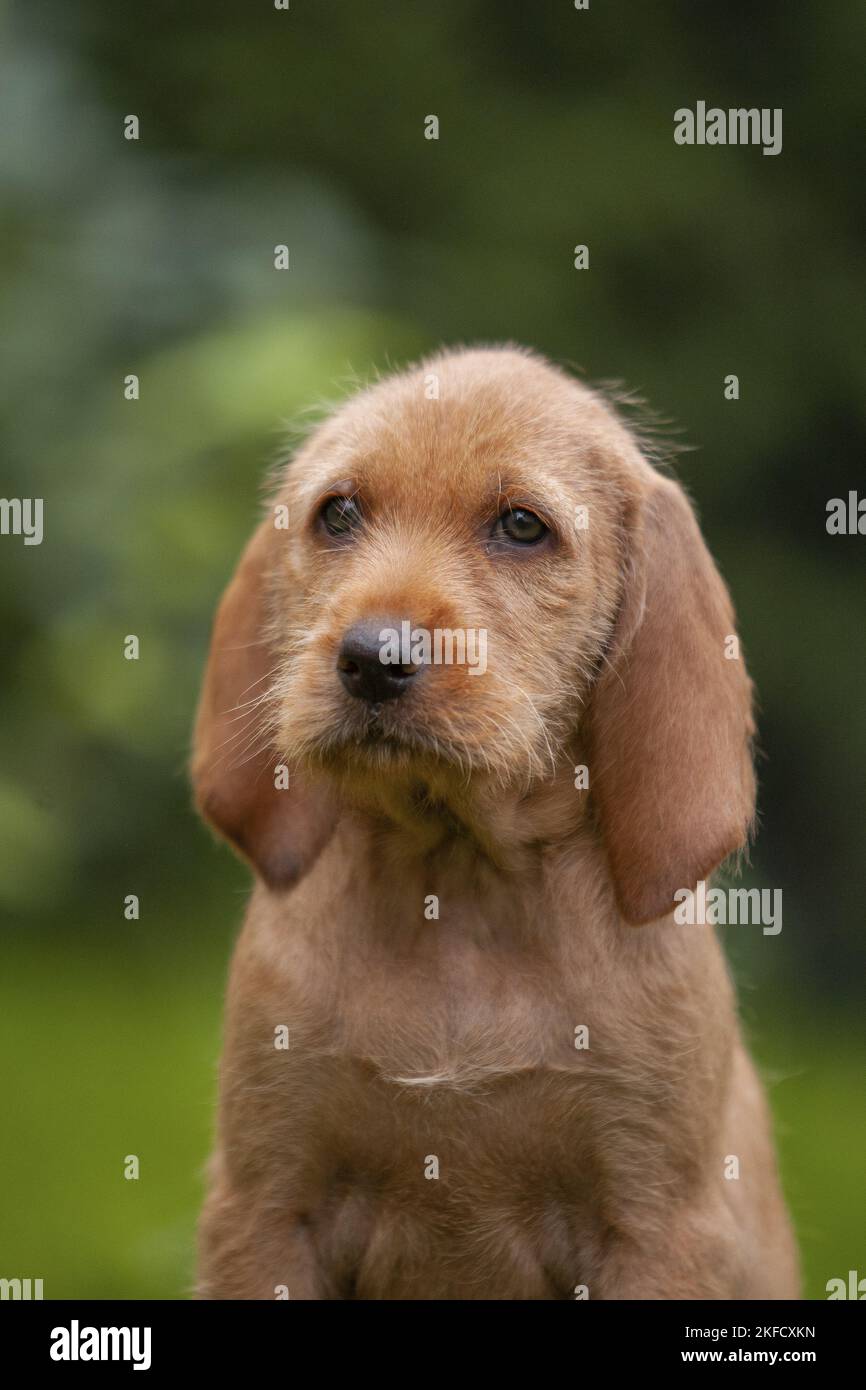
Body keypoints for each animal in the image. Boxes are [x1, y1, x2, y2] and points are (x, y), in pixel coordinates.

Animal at [193, 347, 800, 1301]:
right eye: (338, 514)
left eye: (522, 526)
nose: (373, 659)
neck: (459, 881)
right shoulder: (265, 1208)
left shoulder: (657, 1226)